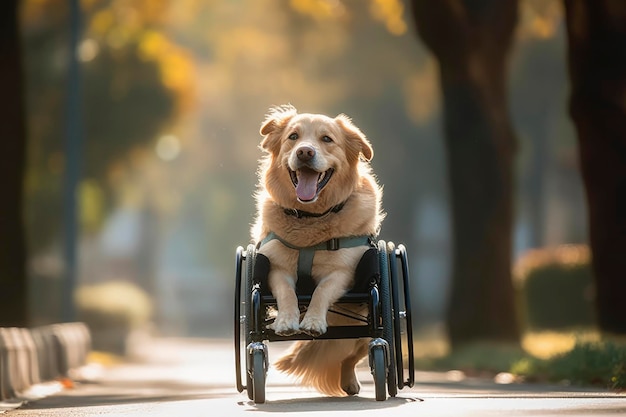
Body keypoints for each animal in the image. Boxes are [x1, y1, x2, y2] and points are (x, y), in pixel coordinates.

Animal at [251, 103, 382, 394]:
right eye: (293, 137)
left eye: (327, 139)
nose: (305, 152)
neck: (310, 217)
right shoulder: (277, 268)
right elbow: (286, 292)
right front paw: (286, 321)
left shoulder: (342, 273)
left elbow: (322, 290)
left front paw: (312, 321)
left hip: (365, 325)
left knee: (356, 353)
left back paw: (351, 382)